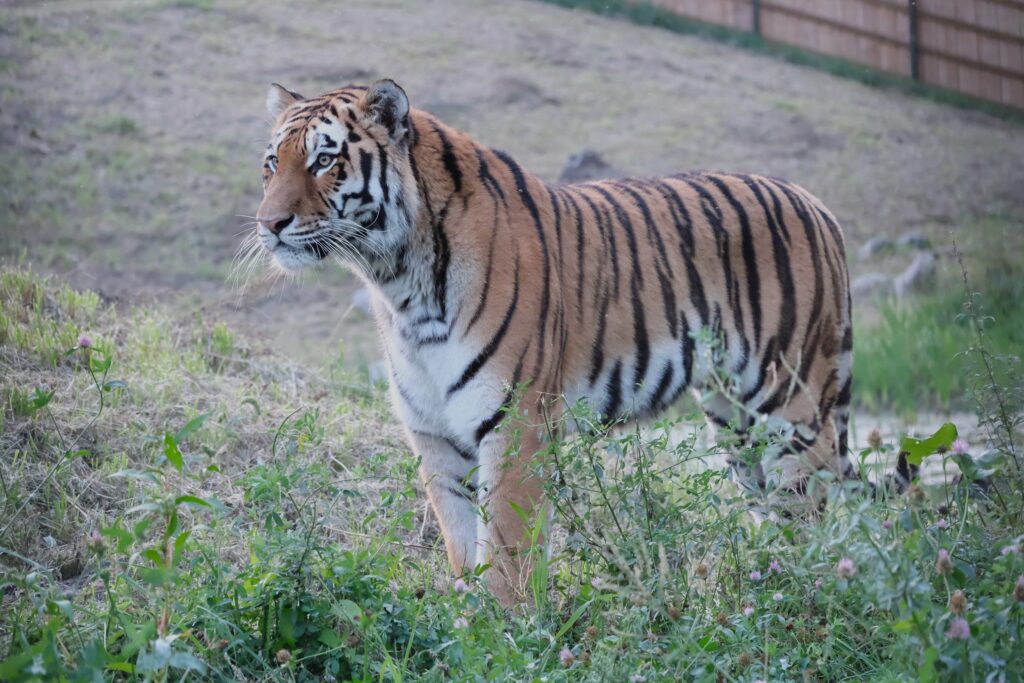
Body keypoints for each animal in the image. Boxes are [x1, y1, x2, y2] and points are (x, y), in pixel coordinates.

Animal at [245, 77, 856, 606]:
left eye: (325, 161)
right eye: (273, 163)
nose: (268, 224)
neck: (398, 283)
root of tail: (817, 204)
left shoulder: (514, 422)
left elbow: (505, 550)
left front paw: (505, 636)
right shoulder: (433, 433)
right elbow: (461, 544)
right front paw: (462, 625)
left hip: (791, 410)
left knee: (817, 523)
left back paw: (807, 608)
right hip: (735, 423)